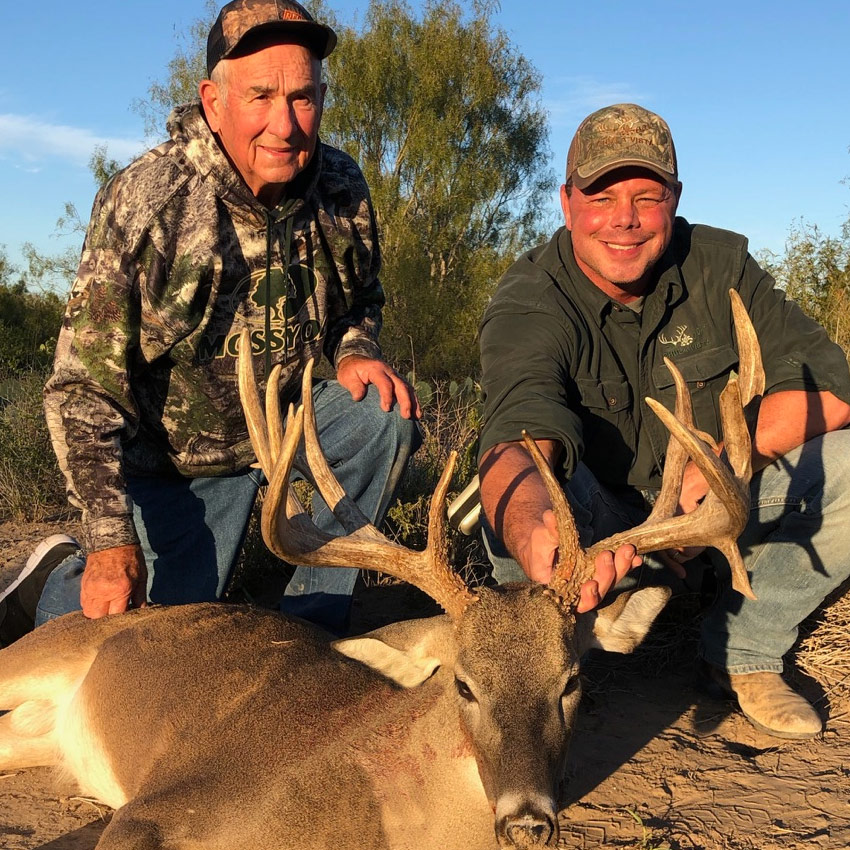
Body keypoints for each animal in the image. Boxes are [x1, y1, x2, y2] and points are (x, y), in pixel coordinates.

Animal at [0, 290, 762, 850]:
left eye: (571, 681)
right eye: (464, 684)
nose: (527, 822)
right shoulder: (161, 809)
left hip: (42, 741)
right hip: (46, 651)